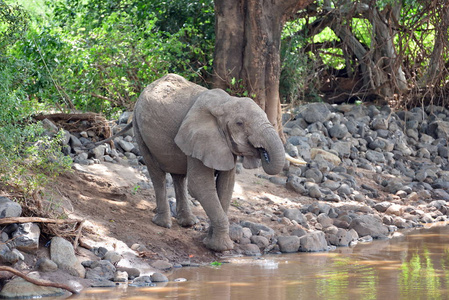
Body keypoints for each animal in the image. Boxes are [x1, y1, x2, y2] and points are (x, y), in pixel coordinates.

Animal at [130, 74, 284, 251]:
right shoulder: (200, 137)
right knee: (157, 173)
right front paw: (220, 247)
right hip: (139, 128)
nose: (262, 151)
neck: (225, 103)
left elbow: (226, 186)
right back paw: (163, 224)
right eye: (239, 123)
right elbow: (200, 186)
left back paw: (188, 223)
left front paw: (210, 241)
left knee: (178, 176)